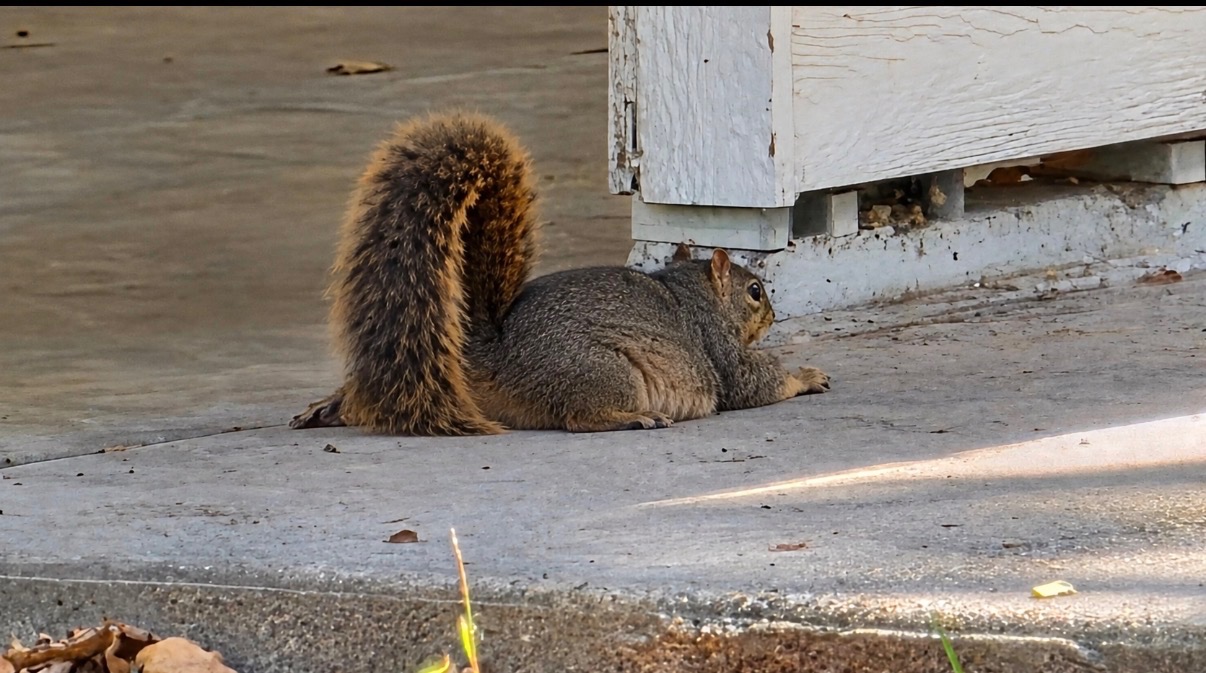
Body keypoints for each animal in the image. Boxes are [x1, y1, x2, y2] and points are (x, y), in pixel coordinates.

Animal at [290, 111, 830, 435]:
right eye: (755, 291)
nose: (773, 316)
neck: (695, 293)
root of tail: (487, 351)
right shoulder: (718, 350)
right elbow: (750, 381)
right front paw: (805, 375)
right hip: (603, 370)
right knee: (577, 418)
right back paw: (636, 418)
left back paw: (329, 409)